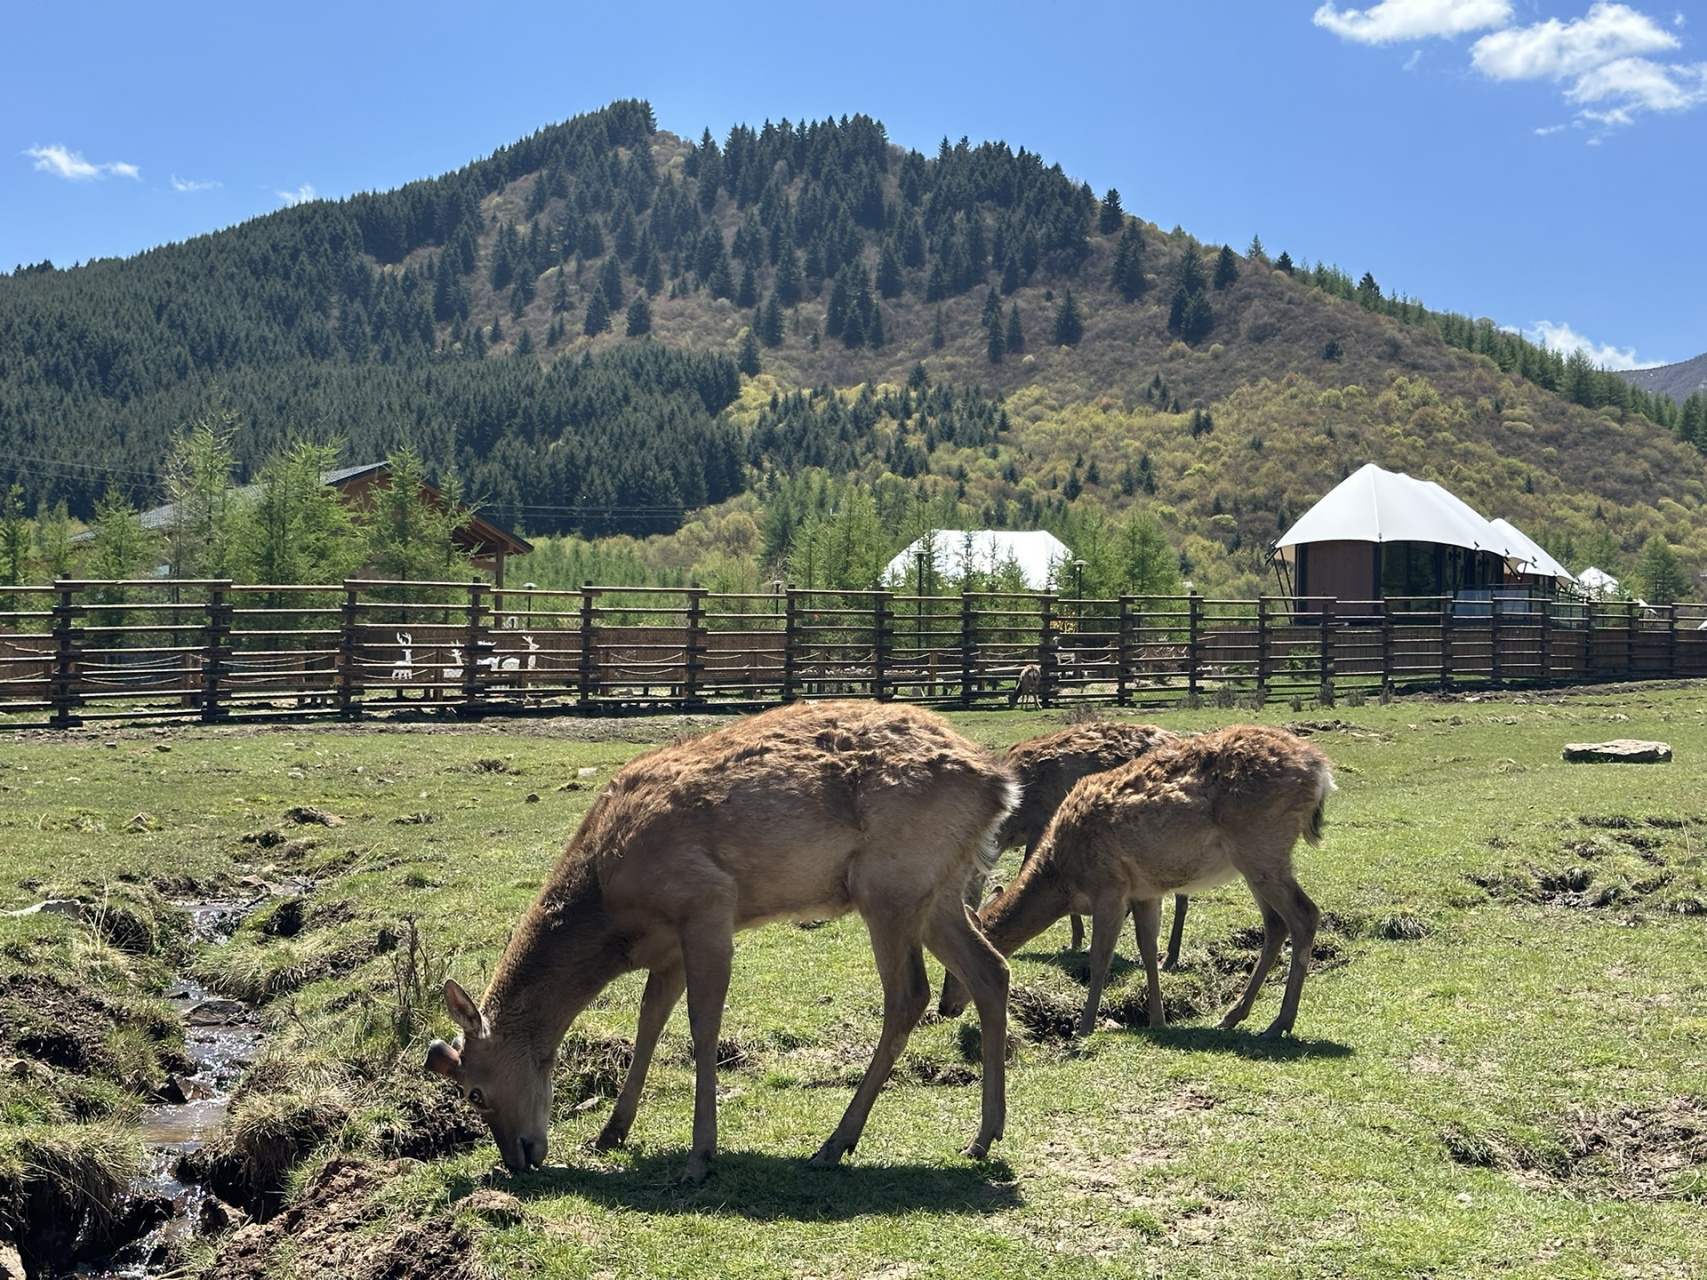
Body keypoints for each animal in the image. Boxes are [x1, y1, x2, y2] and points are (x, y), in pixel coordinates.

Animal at [427, 700, 1018, 1185]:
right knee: (991, 968)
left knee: (909, 994)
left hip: (889, 884)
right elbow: (649, 1023)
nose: (517, 1159)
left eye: (473, 1091)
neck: (613, 907)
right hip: (939, 891)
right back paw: (983, 1137)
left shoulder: (707, 903)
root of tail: (1001, 785)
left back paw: (835, 1144)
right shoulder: (667, 948)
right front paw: (610, 1133)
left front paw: (698, 1158)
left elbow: (702, 1026)